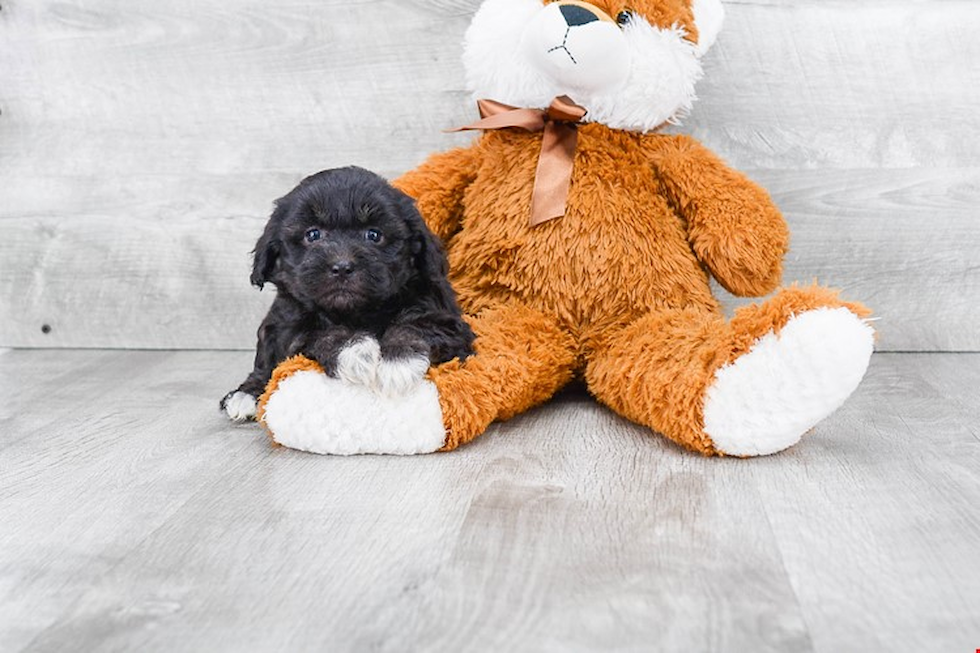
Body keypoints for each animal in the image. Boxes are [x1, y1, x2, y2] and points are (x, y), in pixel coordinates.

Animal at [222, 168, 474, 420]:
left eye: (374, 235)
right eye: (313, 235)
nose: (342, 267)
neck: (355, 312)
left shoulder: (450, 324)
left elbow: (414, 326)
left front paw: (398, 361)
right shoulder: (288, 328)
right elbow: (316, 333)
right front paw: (354, 350)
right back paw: (246, 394)